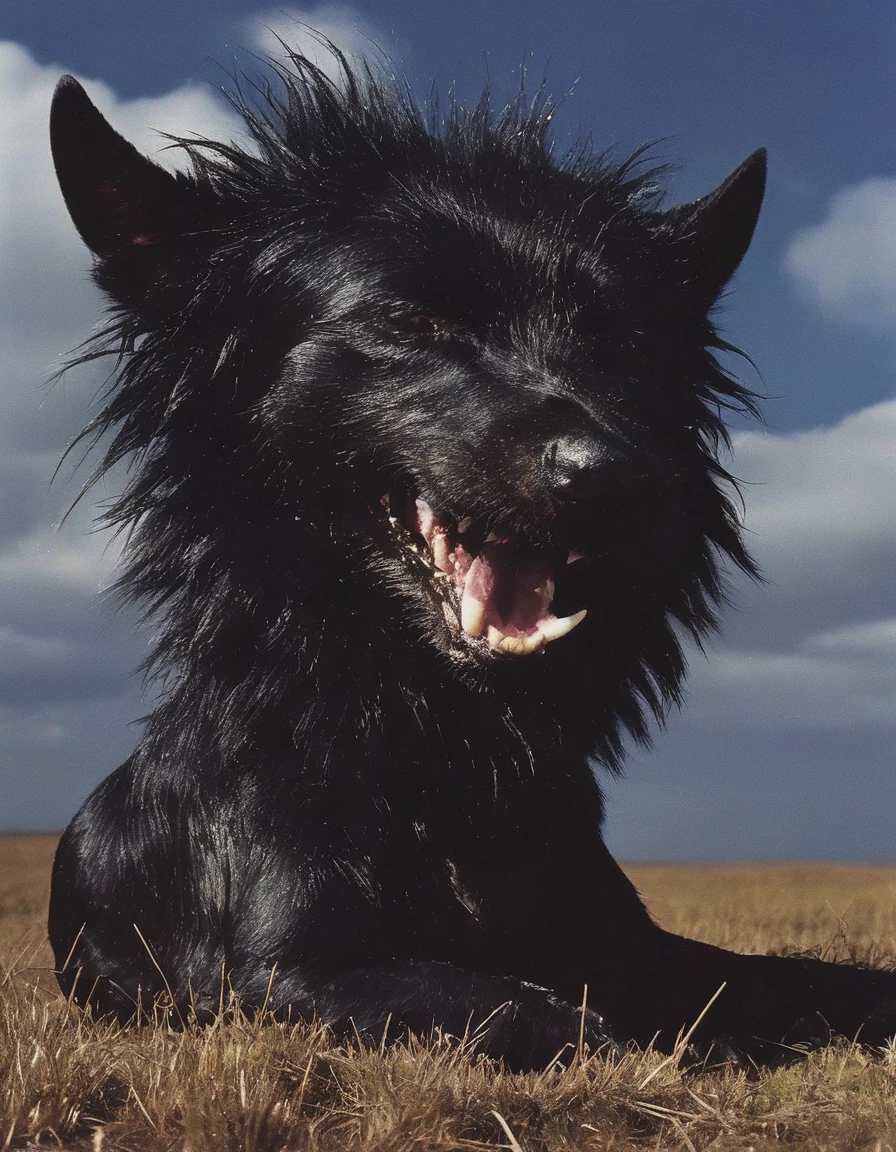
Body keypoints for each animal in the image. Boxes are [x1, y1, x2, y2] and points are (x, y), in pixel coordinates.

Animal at [47, 51, 893, 1059]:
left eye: (622, 342)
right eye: (411, 321)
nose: (615, 477)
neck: (446, 760)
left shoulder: (632, 944)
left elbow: (801, 977)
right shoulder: (282, 977)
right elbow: (553, 1014)